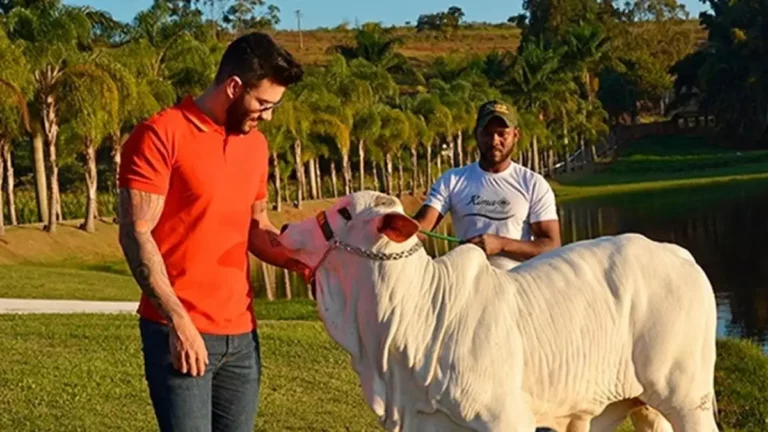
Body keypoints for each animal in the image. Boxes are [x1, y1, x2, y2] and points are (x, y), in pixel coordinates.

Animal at [280, 192, 724, 432]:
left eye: (345, 212)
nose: (284, 230)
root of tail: (677, 253)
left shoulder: (505, 417)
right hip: (644, 403)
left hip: (688, 396)